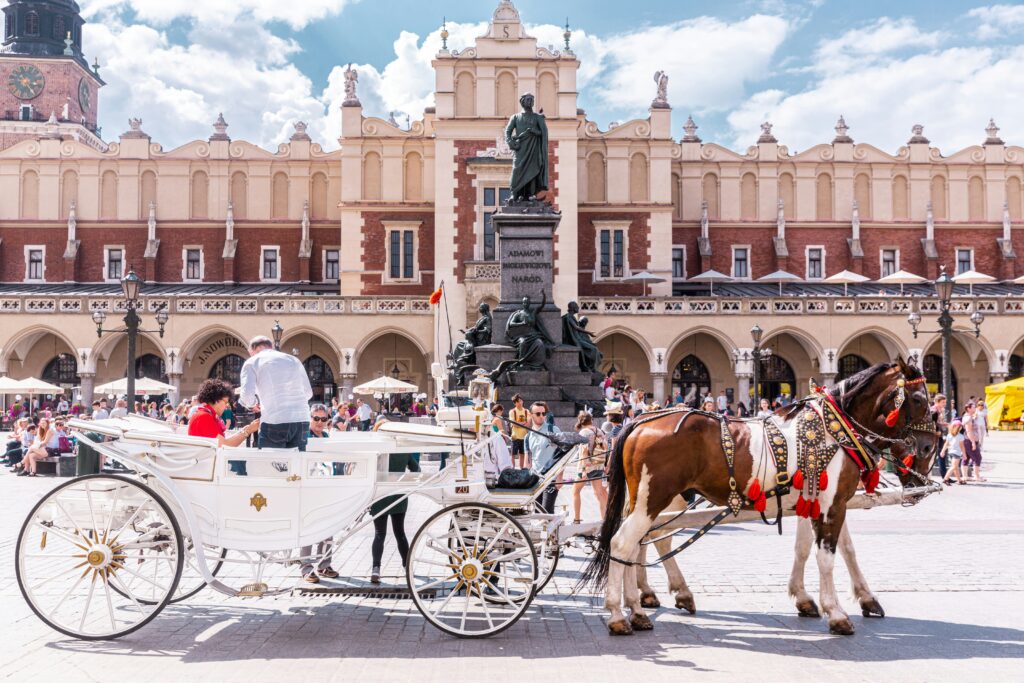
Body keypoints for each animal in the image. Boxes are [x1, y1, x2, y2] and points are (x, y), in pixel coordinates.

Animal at [585, 358, 937, 634]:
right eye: (920, 399)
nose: (929, 448)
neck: (834, 432)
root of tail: (639, 422)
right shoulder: (832, 504)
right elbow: (827, 556)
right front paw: (836, 613)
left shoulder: (816, 502)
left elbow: (820, 549)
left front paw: (830, 598)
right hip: (655, 497)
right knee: (624, 543)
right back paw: (619, 615)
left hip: (648, 499)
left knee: (638, 544)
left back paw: (640, 608)